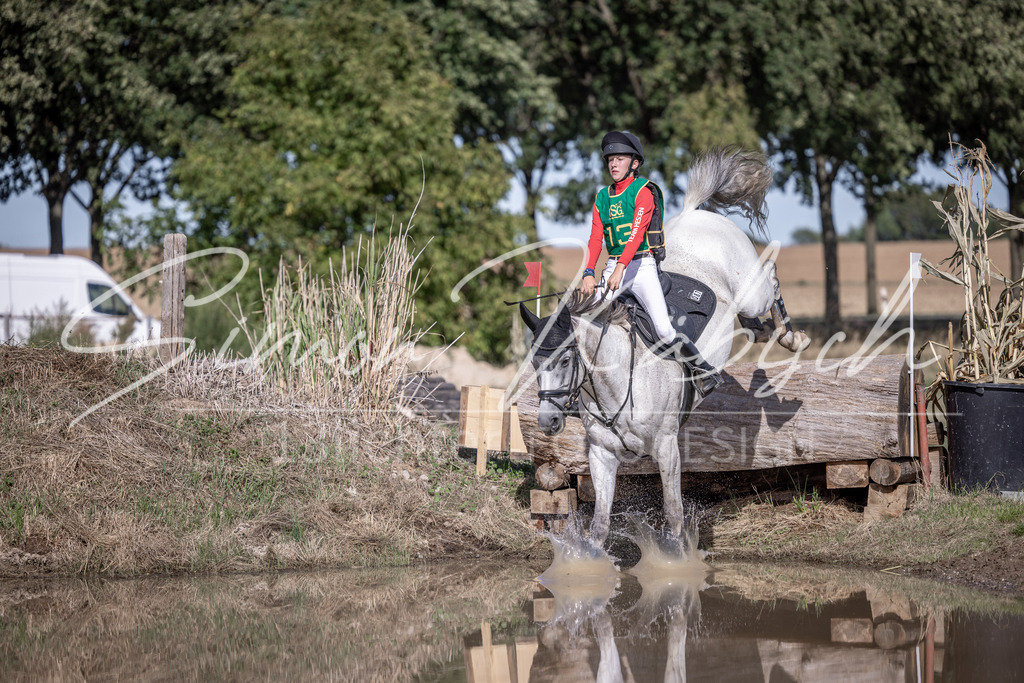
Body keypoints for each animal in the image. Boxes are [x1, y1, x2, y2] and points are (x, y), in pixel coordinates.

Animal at [519, 148, 810, 548]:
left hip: (753, 291)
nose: (547, 421)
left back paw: (792, 337)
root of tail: (694, 213)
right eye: (535, 362)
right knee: (755, 314)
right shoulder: (602, 457)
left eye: (564, 359)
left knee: (772, 276)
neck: (614, 388)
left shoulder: (666, 448)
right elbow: (599, 527)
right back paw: (763, 331)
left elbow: (673, 517)